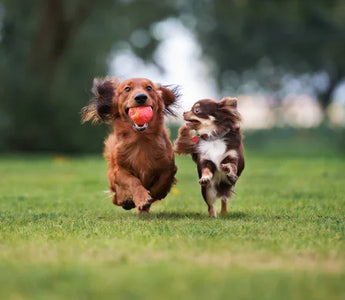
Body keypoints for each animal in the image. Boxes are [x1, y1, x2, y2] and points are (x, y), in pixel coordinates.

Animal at [82, 77, 179, 213]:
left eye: (149, 87)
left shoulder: (169, 166)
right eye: (127, 88)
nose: (141, 97)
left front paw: (153, 194)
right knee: (116, 198)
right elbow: (133, 180)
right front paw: (142, 198)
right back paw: (126, 201)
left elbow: (163, 180)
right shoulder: (118, 171)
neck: (141, 139)